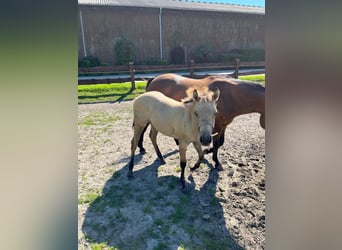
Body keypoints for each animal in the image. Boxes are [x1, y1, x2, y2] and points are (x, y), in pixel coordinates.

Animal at [138, 72, 266, 170]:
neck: (230, 96)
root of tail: (155, 79)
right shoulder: (216, 127)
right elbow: (216, 143)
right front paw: (215, 160)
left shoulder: (223, 126)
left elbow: (220, 143)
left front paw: (207, 152)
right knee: (142, 130)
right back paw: (141, 147)